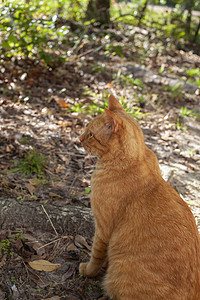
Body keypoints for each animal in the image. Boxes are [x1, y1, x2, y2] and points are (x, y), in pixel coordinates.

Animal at [79, 95, 199, 298]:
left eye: (91, 135)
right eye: (86, 130)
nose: (79, 139)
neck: (136, 159)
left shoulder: (103, 228)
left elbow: (96, 255)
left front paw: (87, 270)